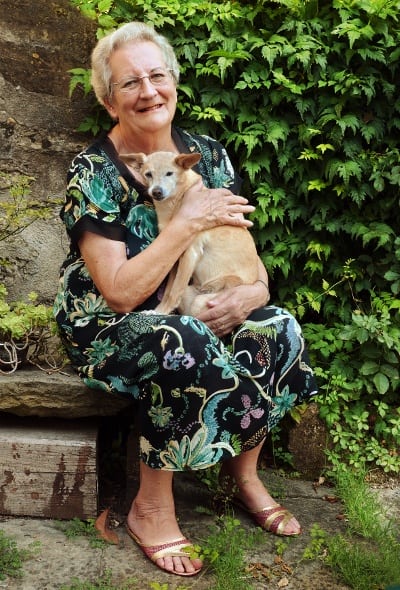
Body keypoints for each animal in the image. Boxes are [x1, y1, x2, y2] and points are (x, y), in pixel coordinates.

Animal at [121, 153, 260, 316]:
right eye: (148, 174)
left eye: (169, 173)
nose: (156, 192)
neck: (175, 203)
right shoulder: (175, 260)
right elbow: (169, 290)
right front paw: (159, 311)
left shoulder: (190, 254)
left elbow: (174, 291)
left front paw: (162, 311)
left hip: (202, 299)